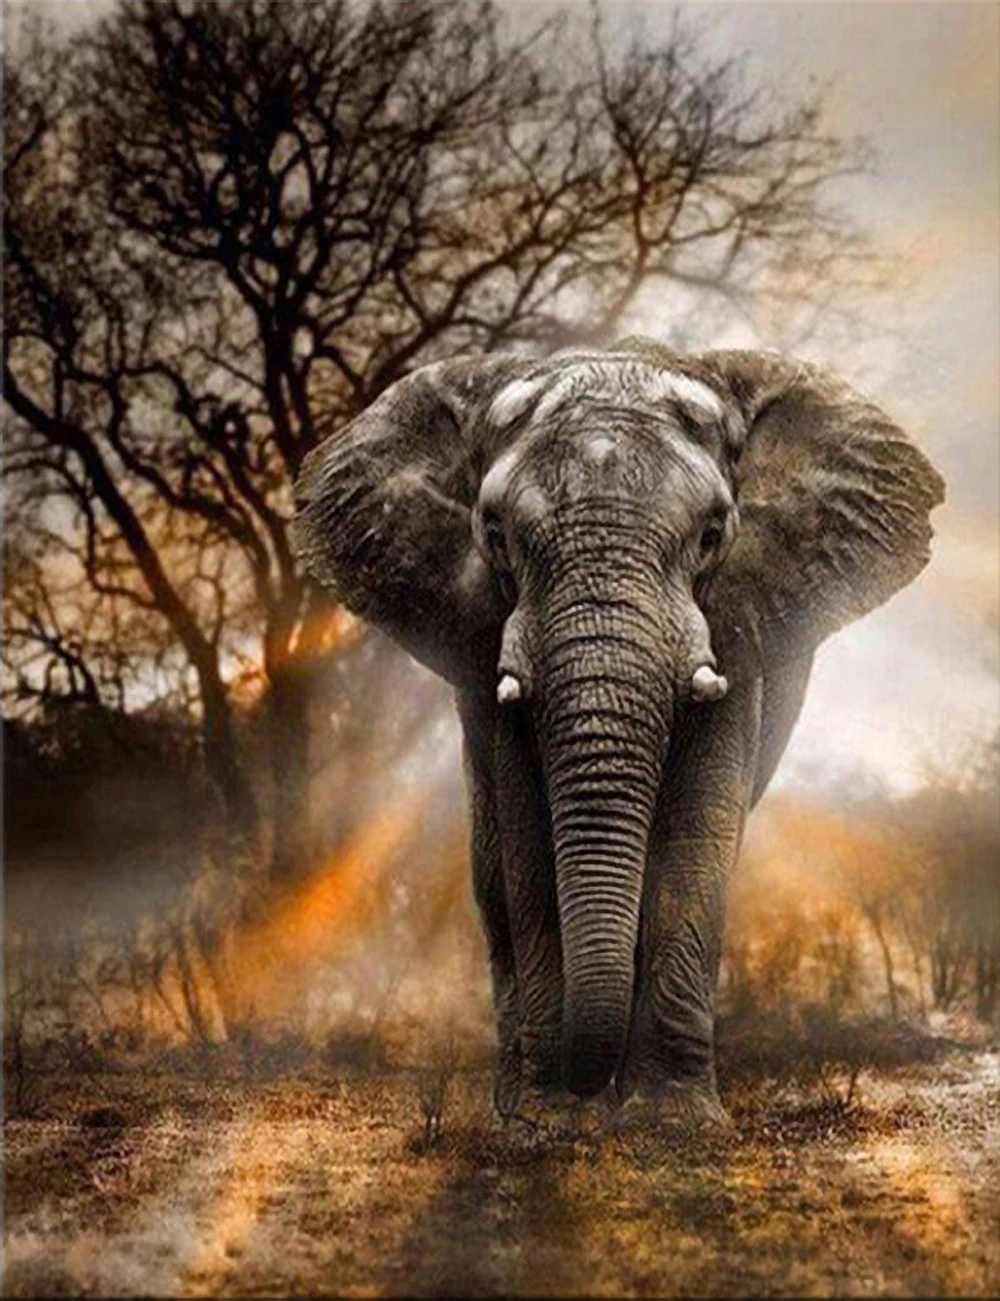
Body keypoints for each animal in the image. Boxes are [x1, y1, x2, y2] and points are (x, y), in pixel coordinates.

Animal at [292, 337, 944, 1123]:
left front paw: (673, 1123)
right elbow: (528, 839)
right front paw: (547, 1121)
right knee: (491, 873)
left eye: (712, 535)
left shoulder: (736, 626)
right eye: (495, 536)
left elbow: (696, 835)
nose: (583, 1085)